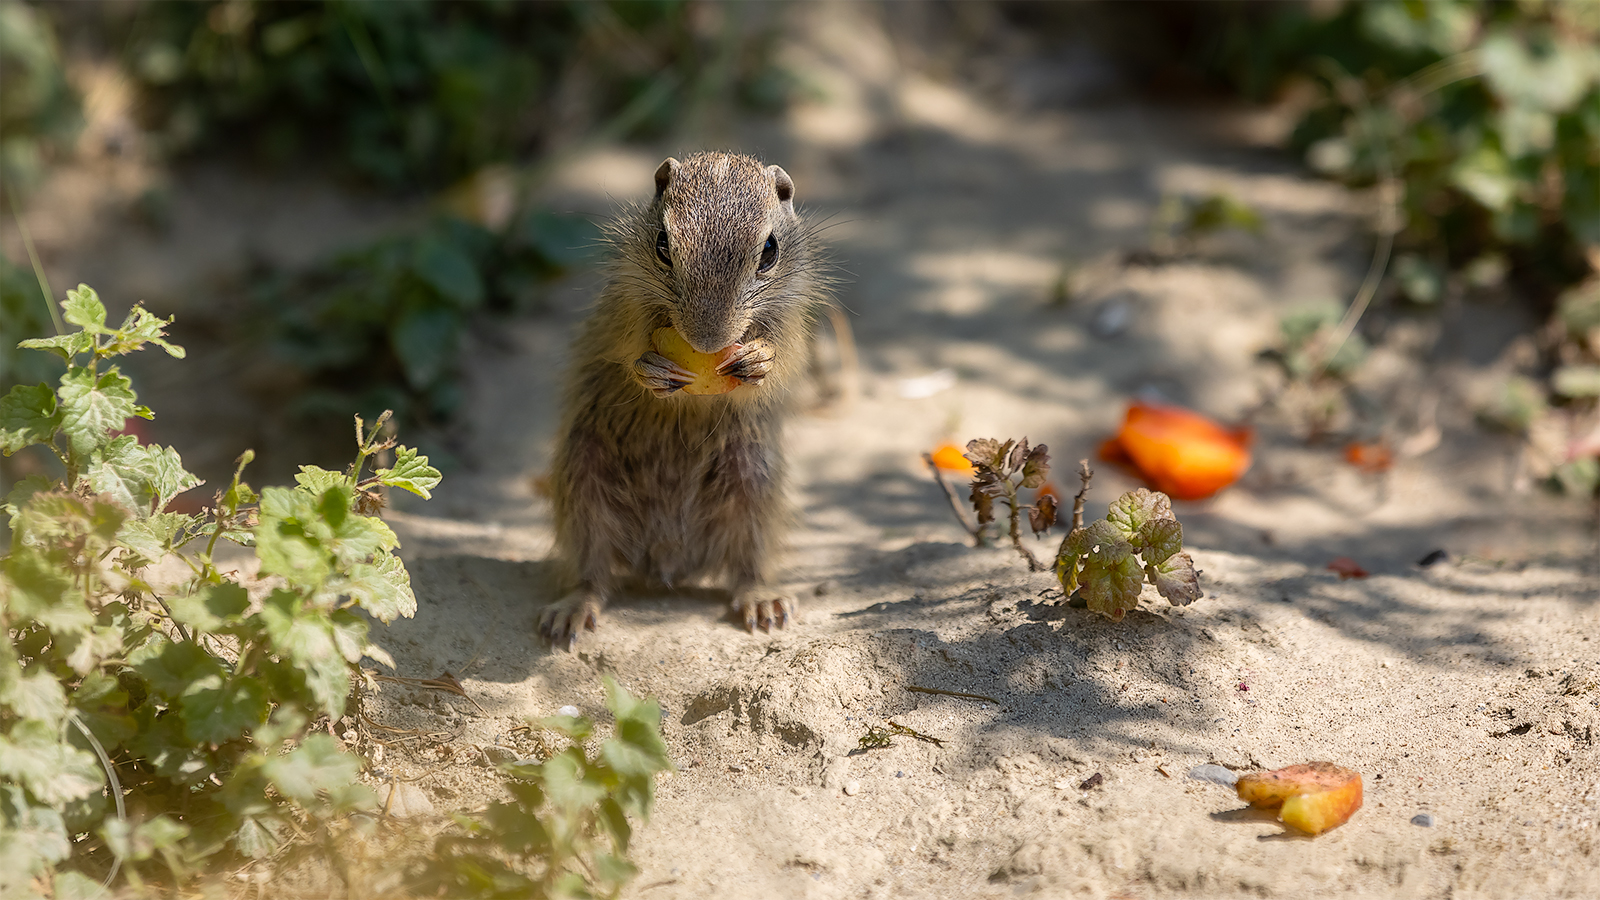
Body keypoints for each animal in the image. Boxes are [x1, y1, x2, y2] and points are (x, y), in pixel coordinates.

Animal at [540, 152, 832, 643]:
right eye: (662, 244)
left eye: (769, 252)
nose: (708, 339)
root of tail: (667, 559)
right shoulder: (623, 300)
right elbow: (623, 345)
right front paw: (651, 370)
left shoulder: (793, 315)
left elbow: (785, 357)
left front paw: (759, 358)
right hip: (583, 477)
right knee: (592, 571)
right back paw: (574, 608)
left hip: (754, 482)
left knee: (747, 564)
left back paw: (762, 600)